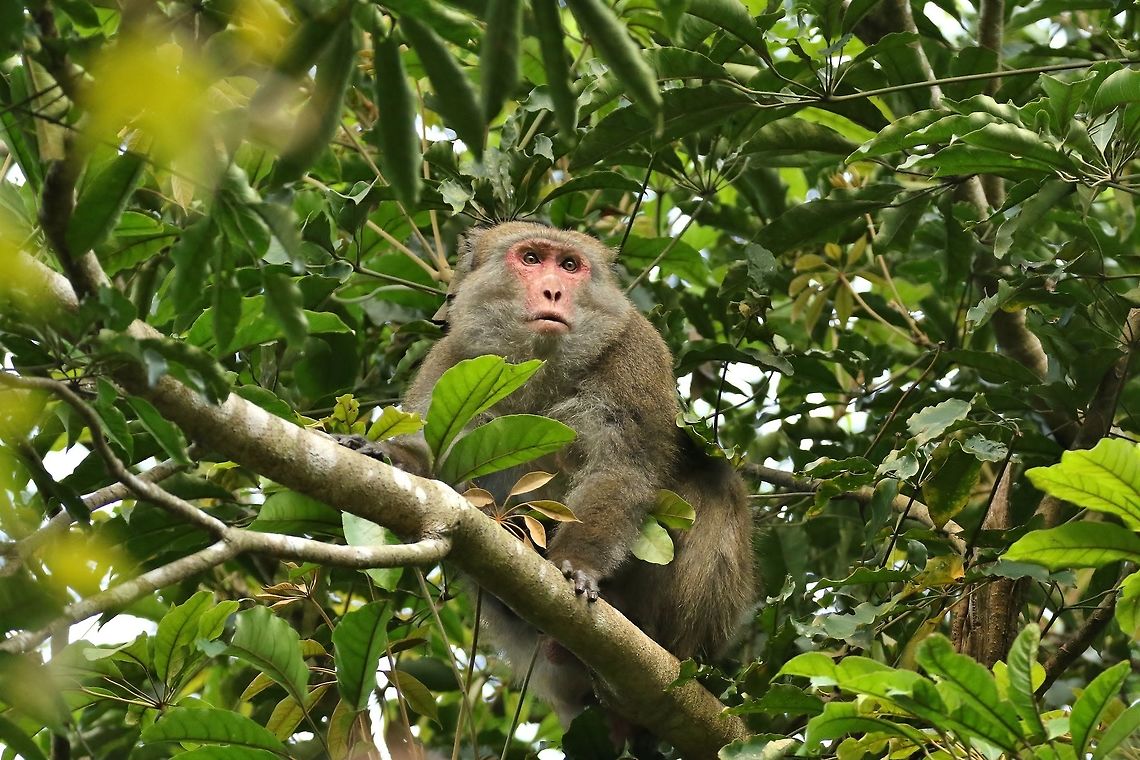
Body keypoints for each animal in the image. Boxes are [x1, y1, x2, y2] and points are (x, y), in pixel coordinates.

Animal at [372, 221, 756, 727]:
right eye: (532, 259)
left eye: (570, 265)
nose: (553, 290)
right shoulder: (455, 358)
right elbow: (432, 457)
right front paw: (390, 455)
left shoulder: (634, 349)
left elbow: (619, 468)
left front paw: (579, 564)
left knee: (715, 484)